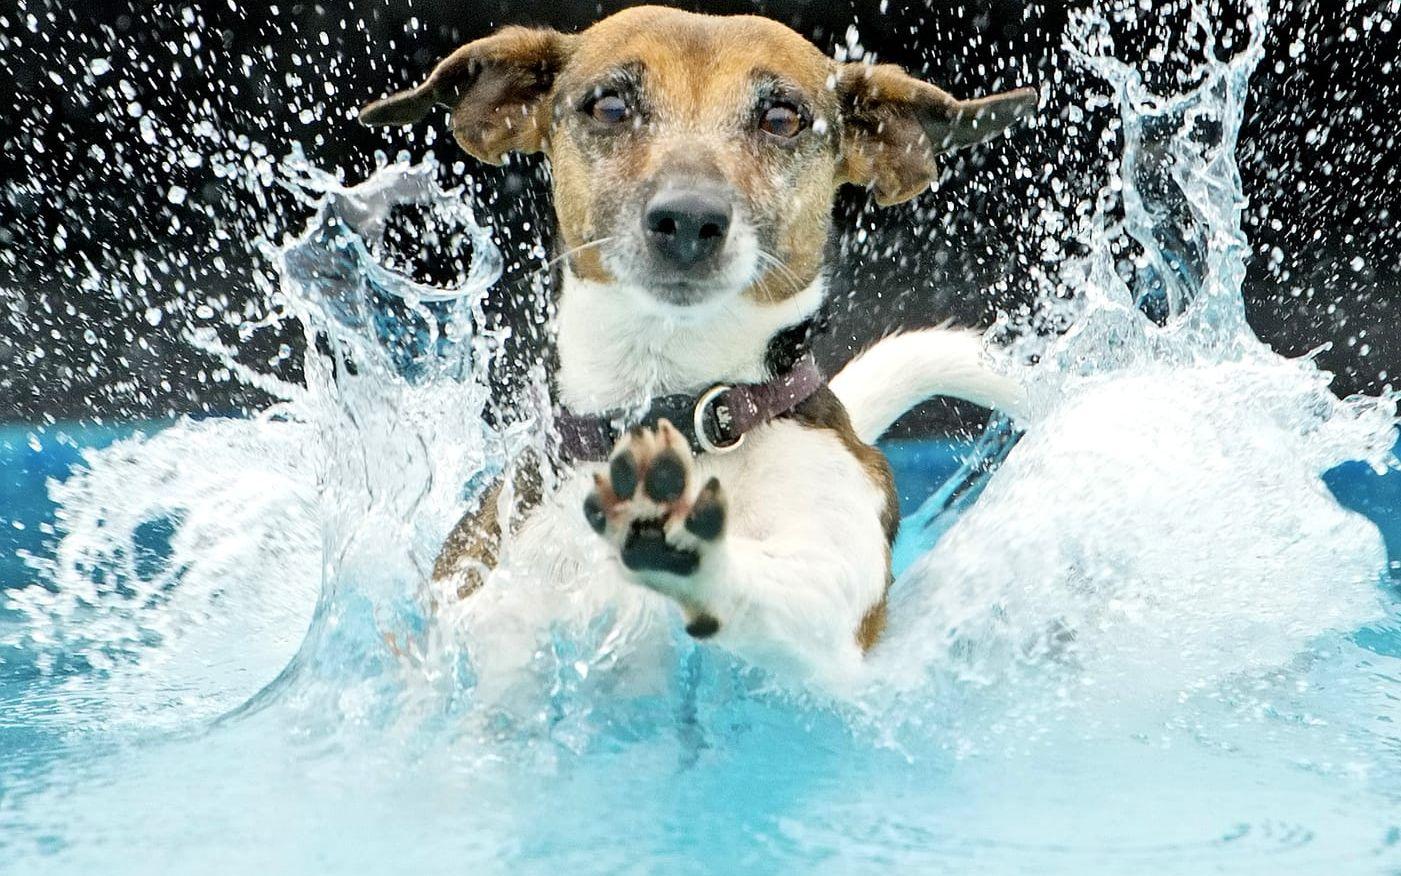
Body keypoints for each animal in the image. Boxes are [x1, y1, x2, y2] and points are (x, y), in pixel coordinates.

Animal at [364, 6, 1031, 689]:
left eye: (781, 118)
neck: (682, 408)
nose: (688, 218)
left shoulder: (836, 609)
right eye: (610, 106)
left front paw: (678, 539)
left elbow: (782, 598)